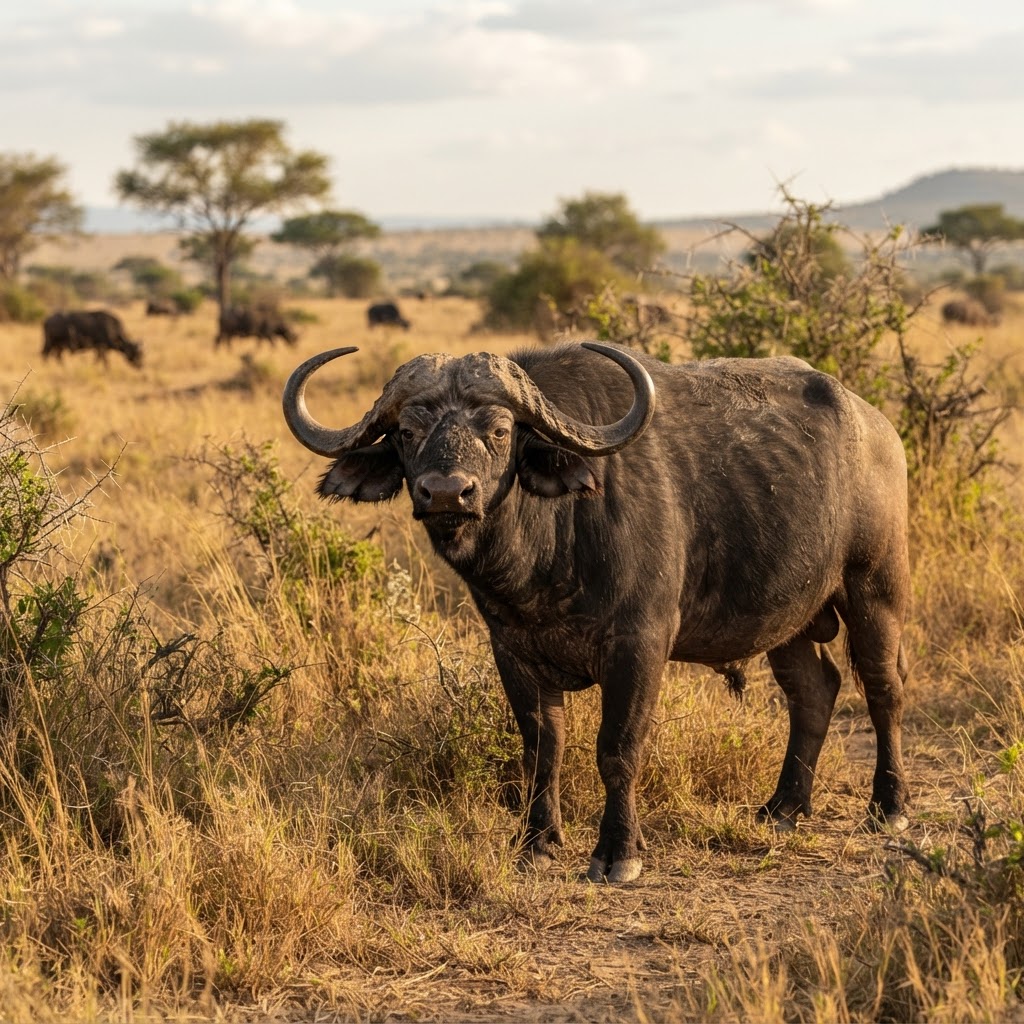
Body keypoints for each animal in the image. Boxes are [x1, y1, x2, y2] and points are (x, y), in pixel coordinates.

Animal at [283, 343, 911, 882]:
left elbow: (618, 748)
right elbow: (542, 749)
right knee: (814, 689)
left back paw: (889, 806)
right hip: (789, 619)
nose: (445, 493)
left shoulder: (640, 646)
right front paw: (537, 843)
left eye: (499, 431)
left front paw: (618, 852)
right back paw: (784, 806)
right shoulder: (513, 651)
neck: (547, 554)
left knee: (884, 690)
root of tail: (877, 426)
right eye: (408, 432)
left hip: (875, 590)